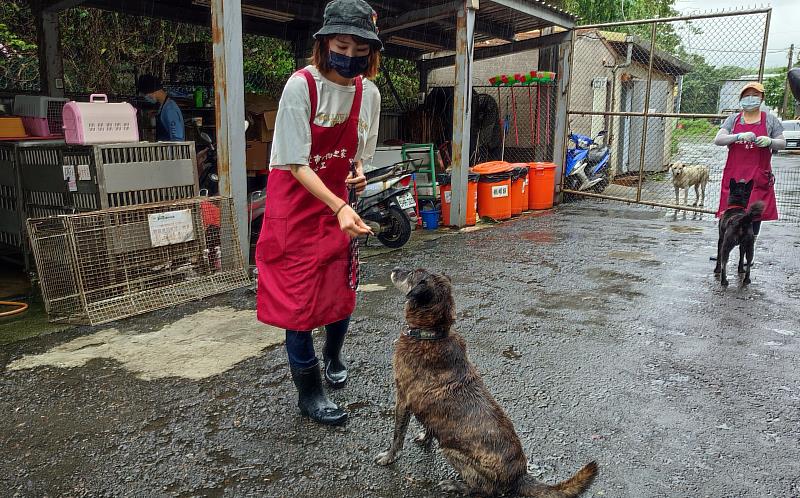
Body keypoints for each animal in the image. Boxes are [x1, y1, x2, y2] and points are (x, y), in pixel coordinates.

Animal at [378, 268, 596, 498]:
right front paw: (425, 437)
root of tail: (519, 475)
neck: (431, 334)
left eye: (411, 273)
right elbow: (429, 425)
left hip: (453, 452)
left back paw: (456, 485)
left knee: (484, 489)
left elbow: (397, 434)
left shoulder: (402, 399)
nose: (394, 270)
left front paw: (388, 457)